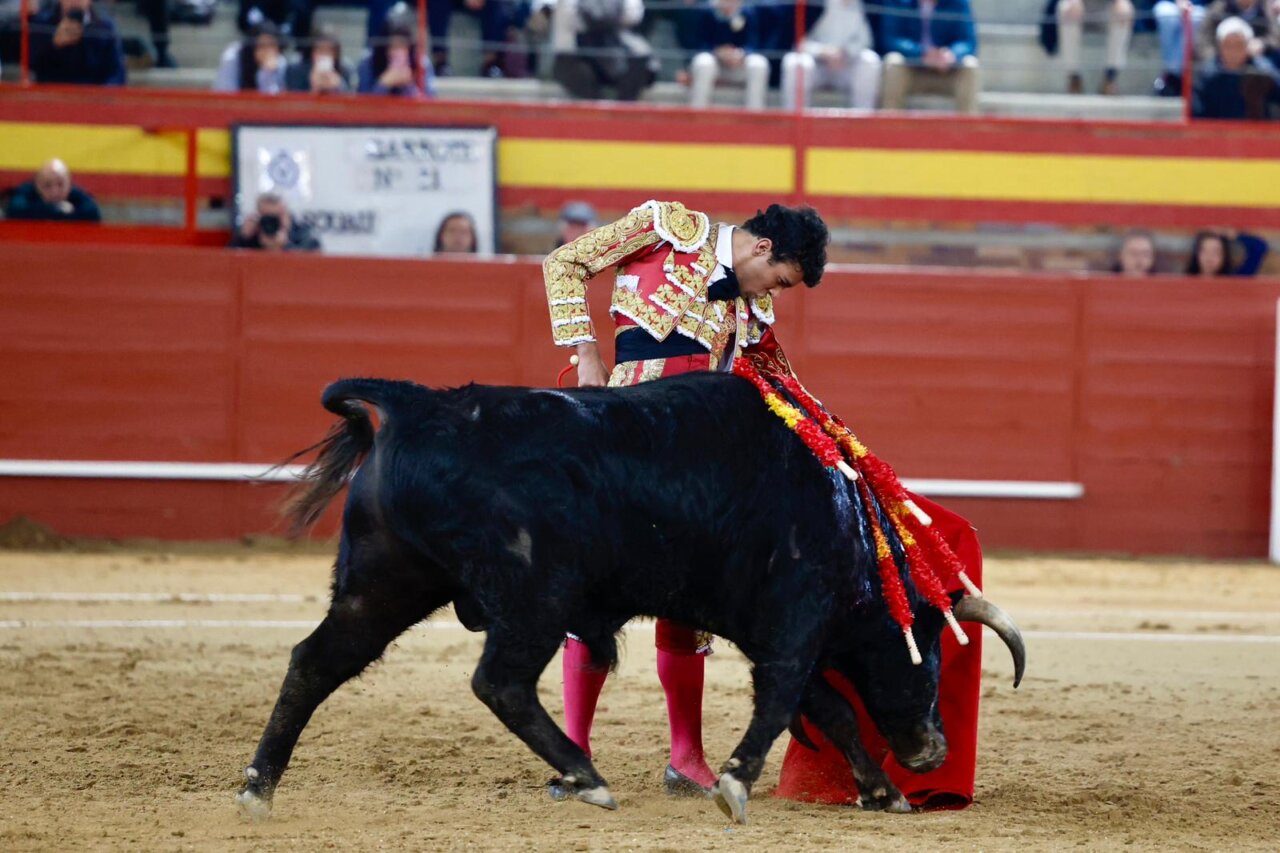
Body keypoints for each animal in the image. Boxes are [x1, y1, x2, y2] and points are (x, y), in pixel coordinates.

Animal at [235, 372, 1025, 824]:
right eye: (928, 661)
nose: (932, 749)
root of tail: (414, 407)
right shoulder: (795, 618)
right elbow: (787, 701)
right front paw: (736, 783)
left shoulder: (767, 625)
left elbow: (827, 708)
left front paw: (882, 792)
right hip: (533, 597)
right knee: (500, 682)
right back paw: (586, 777)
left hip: (385, 582)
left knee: (315, 661)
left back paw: (256, 788)